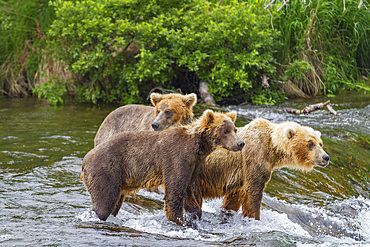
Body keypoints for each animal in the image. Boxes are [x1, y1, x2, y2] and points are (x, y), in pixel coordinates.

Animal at [80, 109, 246, 225]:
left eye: (235, 129)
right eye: (225, 130)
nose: (240, 143)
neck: (198, 147)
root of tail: (85, 160)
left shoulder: (194, 165)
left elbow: (189, 192)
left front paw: (194, 215)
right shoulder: (176, 158)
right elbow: (174, 191)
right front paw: (177, 220)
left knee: (114, 203)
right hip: (106, 170)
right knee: (104, 202)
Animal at [184, 117, 330, 220]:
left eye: (320, 143)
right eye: (310, 143)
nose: (326, 157)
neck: (272, 149)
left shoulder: (238, 177)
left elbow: (233, 199)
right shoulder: (254, 159)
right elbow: (253, 193)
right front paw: (254, 217)